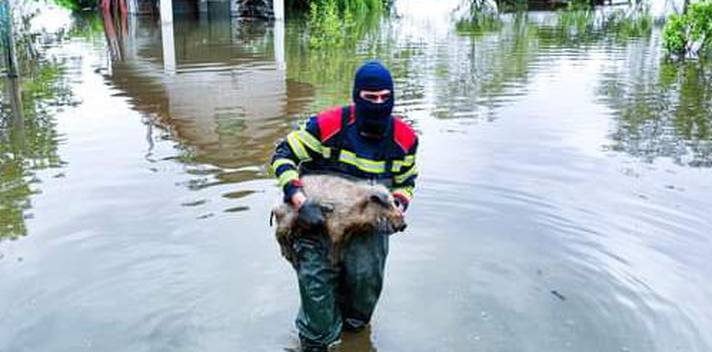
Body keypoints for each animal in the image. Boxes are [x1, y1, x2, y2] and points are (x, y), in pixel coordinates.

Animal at [272, 175, 408, 266]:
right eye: (387, 205)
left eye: (395, 203)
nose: (404, 225)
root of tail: (276, 207)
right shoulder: (336, 223)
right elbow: (336, 241)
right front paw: (334, 262)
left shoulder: (349, 229)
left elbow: (344, 241)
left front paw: (340, 259)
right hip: (286, 220)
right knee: (279, 235)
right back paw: (291, 257)